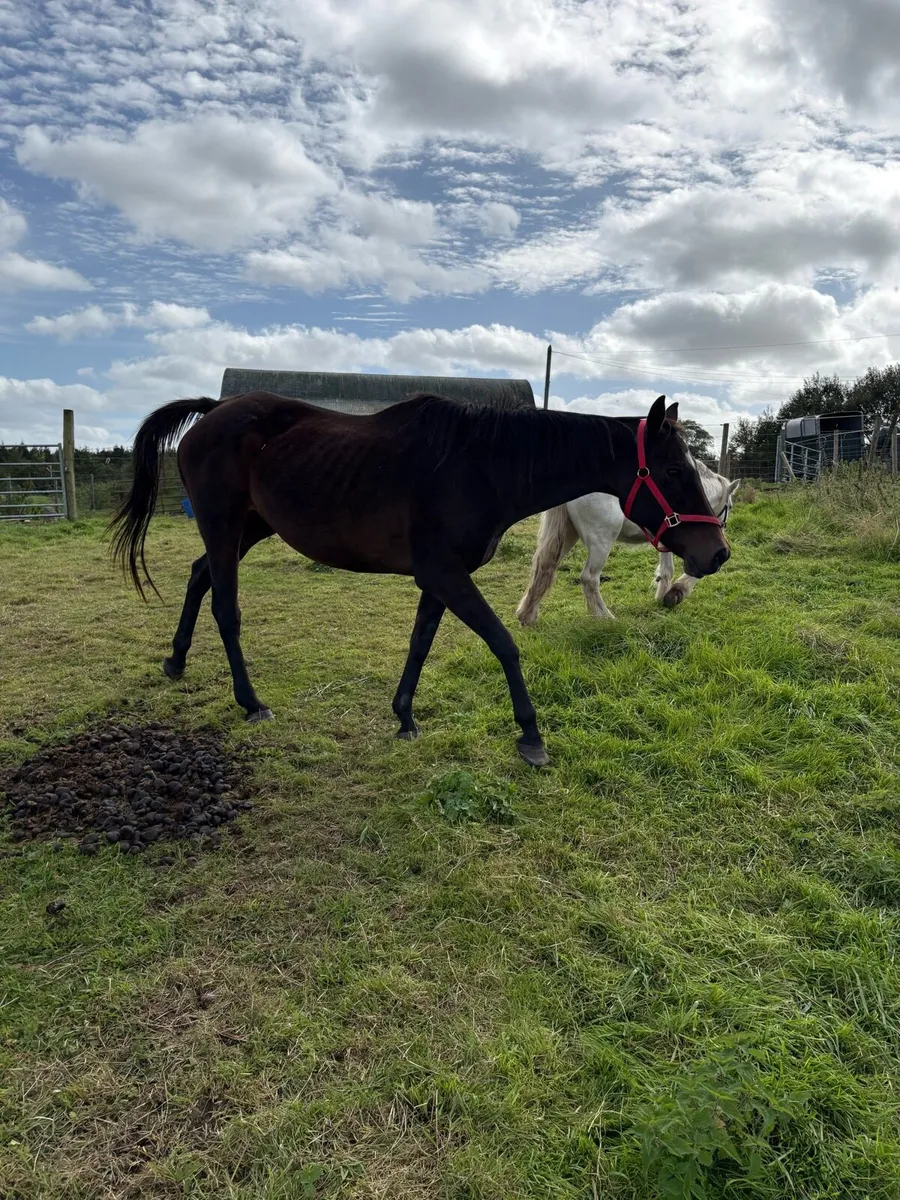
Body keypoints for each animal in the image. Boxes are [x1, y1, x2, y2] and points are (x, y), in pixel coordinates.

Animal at [517, 460, 739, 624]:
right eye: (729, 505)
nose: (721, 530)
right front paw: (675, 593)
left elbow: (666, 570)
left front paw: (663, 595)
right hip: (601, 541)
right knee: (589, 579)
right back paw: (605, 619)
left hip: (567, 533)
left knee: (545, 566)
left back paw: (527, 615)